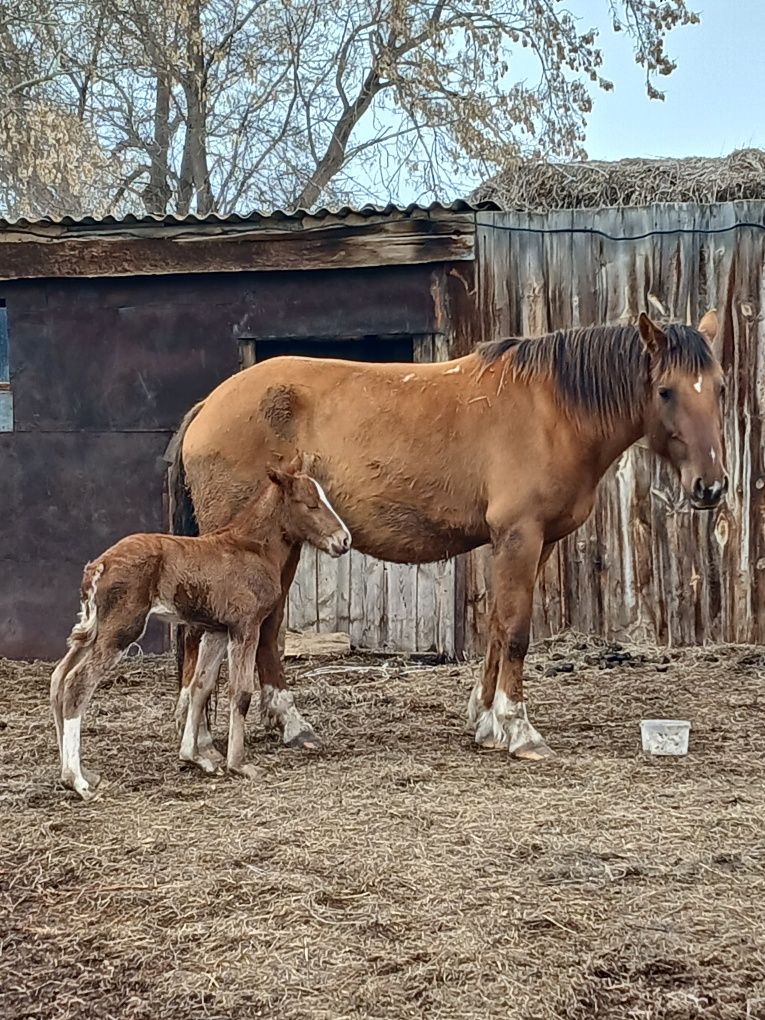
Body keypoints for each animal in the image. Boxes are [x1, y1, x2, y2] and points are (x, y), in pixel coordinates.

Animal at [167, 308, 726, 758]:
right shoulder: (519, 537)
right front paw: (519, 730)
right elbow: (516, 633)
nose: (711, 486)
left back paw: (285, 726)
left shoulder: (536, 544)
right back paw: (225, 734)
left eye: (720, 387)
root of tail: (208, 405)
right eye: (665, 391)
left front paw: (486, 720)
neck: (552, 411)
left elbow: (498, 627)